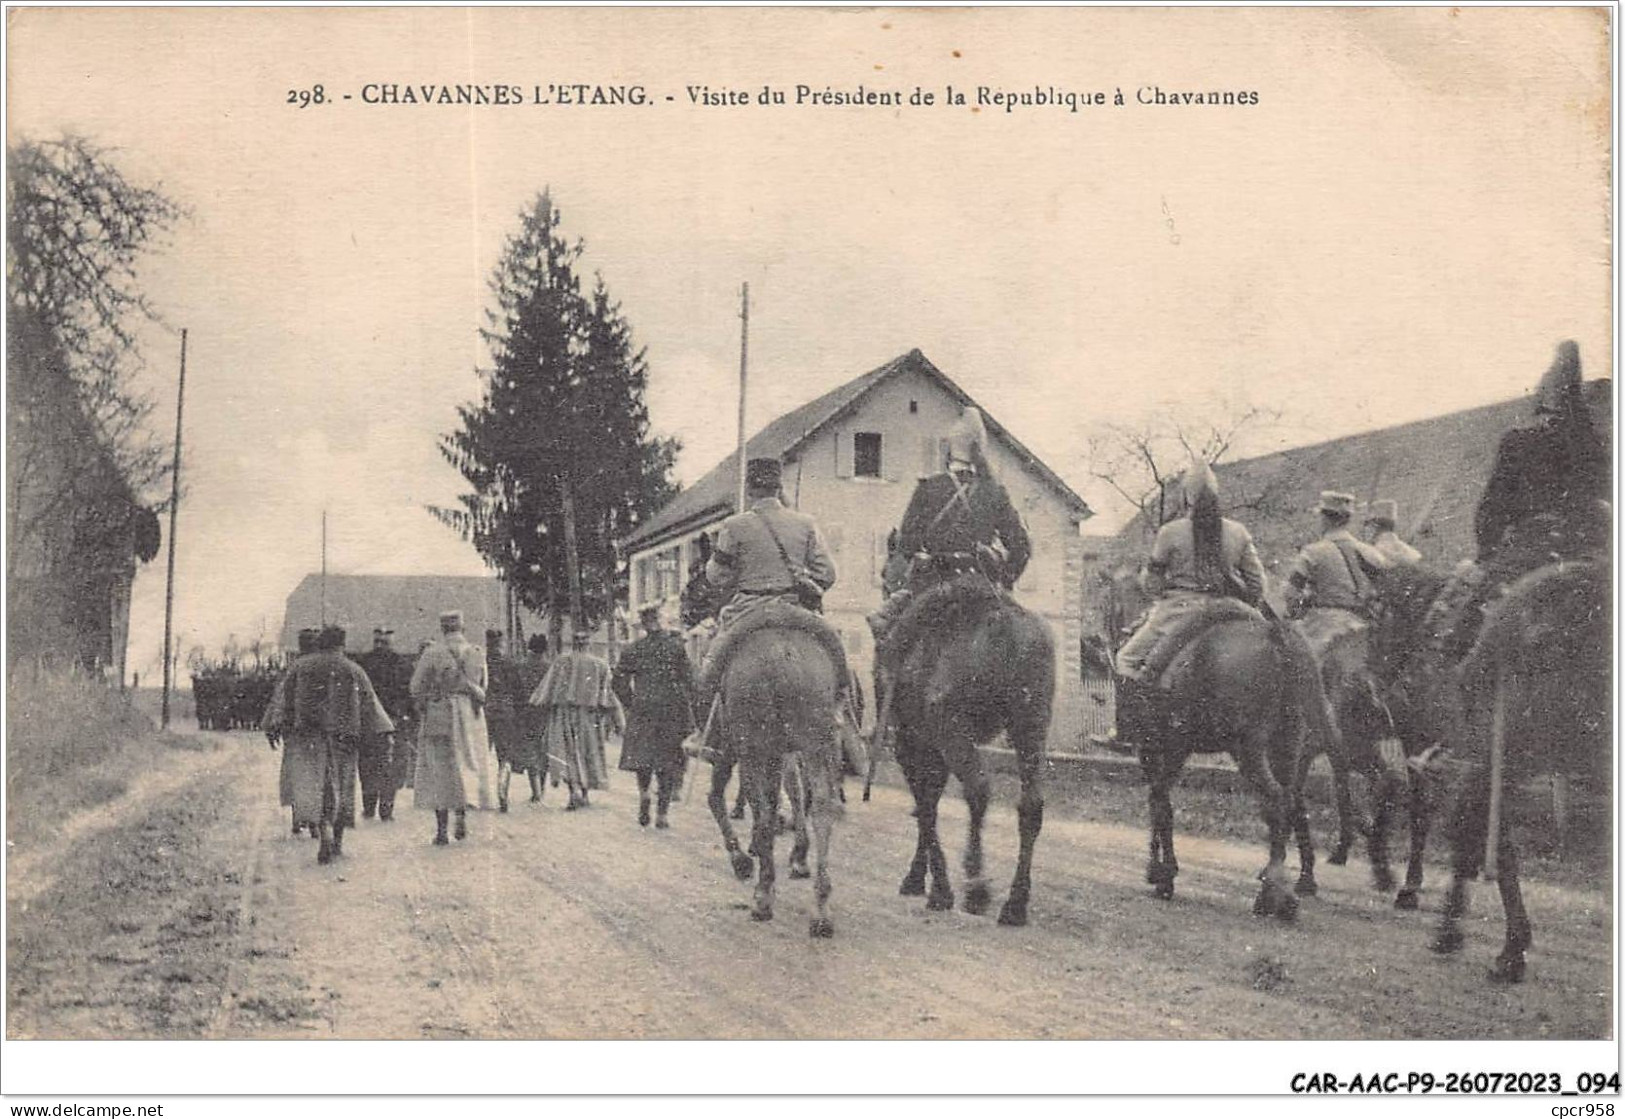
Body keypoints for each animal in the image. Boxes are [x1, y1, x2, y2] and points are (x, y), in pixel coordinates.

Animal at [705, 600, 845, 935]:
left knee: (764, 812)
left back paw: (763, 896)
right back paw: (821, 909)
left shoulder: (738, 749)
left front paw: (743, 859)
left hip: (754, 747)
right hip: (816, 743)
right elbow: (789, 793)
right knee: (821, 807)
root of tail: (784, 652)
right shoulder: (780, 753)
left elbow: (722, 799)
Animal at [884, 574, 1059, 922]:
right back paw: (1015, 904)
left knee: (978, 791)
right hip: (1031, 725)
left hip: (953, 729)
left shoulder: (912, 744)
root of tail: (1004, 626)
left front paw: (934, 888)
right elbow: (928, 806)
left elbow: (926, 809)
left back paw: (977, 887)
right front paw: (924, 880)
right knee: (1031, 805)